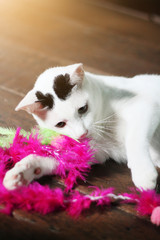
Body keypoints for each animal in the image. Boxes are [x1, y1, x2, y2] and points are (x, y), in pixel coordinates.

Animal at [2, 62, 160, 190]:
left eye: (83, 109)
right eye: (60, 124)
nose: (82, 133)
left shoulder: (144, 107)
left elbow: (134, 138)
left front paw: (143, 172)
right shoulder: (95, 151)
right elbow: (56, 158)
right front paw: (22, 172)